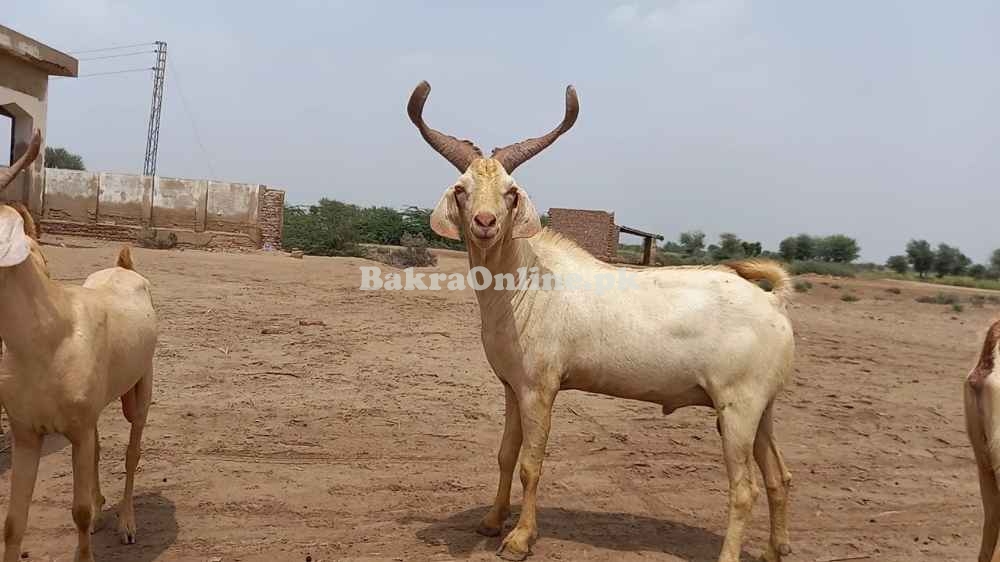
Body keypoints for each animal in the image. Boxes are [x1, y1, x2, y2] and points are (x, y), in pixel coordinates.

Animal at [0, 131, 157, 560]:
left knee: (133, 448)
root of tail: (124, 265)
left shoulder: (78, 426)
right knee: (102, 448)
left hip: (142, 382)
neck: (44, 340)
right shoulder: (26, 430)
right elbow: (12, 523)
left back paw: (127, 524)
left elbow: (80, 511)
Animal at [406, 81, 796, 560]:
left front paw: (519, 538)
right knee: (779, 476)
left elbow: (531, 463)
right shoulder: (512, 385)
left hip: (738, 404)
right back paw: (775, 550)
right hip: (762, 405)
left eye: (511, 192)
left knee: (744, 489)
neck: (523, 284)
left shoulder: (540, 387)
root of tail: (773, 302)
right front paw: (492, 522)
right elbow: (505, 453)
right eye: (462, 189)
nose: (485, 222)